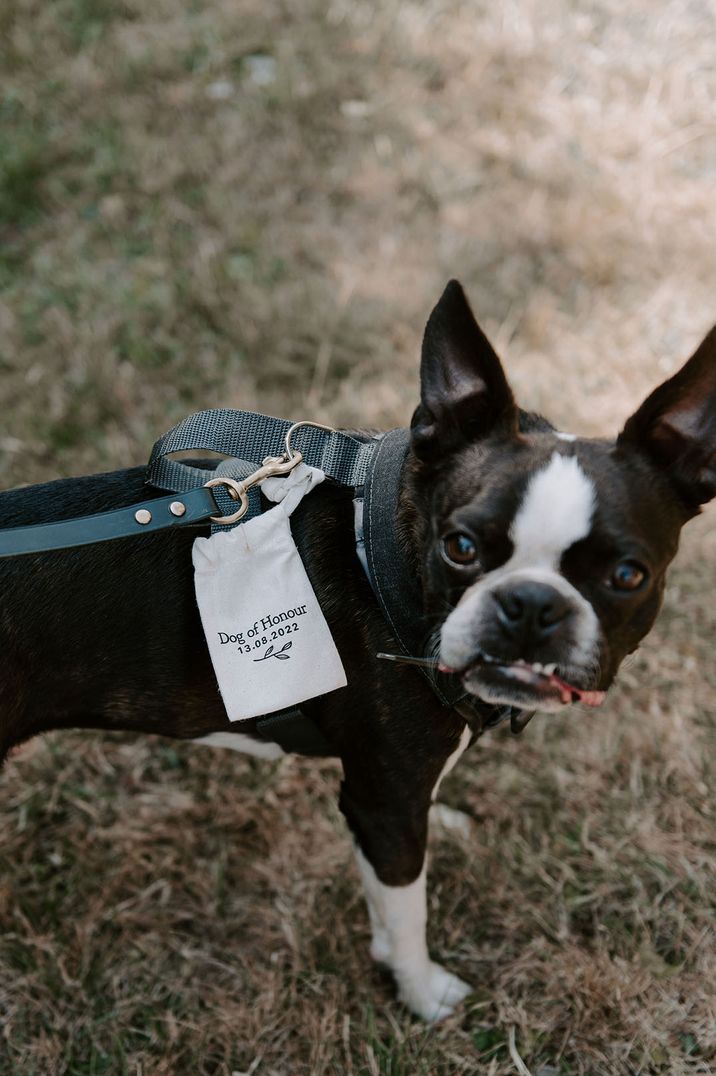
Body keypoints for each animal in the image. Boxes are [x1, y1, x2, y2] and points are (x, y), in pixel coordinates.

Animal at [1, 279, 714, 1015]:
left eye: (628, 575)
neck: (384, 555)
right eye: (460, 546)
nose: (530, 605)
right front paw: (422, 992)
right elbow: (405, 913)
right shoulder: (384, 807)